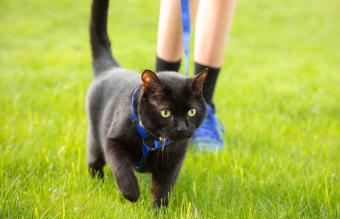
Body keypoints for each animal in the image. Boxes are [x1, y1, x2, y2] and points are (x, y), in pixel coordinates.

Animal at [85, 0, 207, 207]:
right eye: (166, 113)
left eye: (191, 112)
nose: (182, 128)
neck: (155, 141)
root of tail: (110, 67)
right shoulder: (112, 142)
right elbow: (122, 169)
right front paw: (132, 194)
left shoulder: (174, 160)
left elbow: (163, 189)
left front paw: (158, 209)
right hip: (95, 137)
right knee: (94, 162)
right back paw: (97, 185)